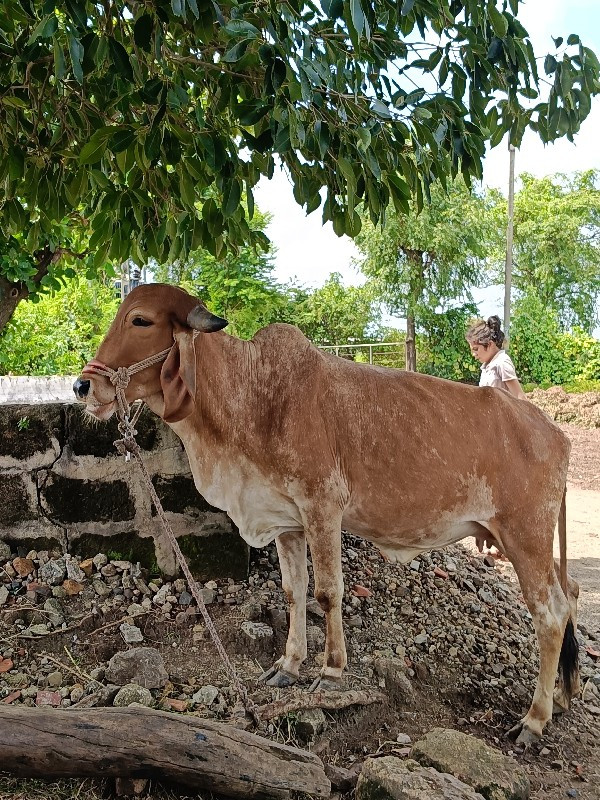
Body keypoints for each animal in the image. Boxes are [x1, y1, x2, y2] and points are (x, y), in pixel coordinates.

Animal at [72, 282, 580, 744]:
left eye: (140, 320)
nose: (82, 385)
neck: (254, 396)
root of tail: (553, 431)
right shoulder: (286, 521)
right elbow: (294, 592)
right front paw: (288, 664)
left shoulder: (323, 508)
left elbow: (328, 593)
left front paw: (331, 671)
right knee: (569, 598)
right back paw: (561, 696)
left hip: (526, 540)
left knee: (551, 615)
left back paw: (534, 719)